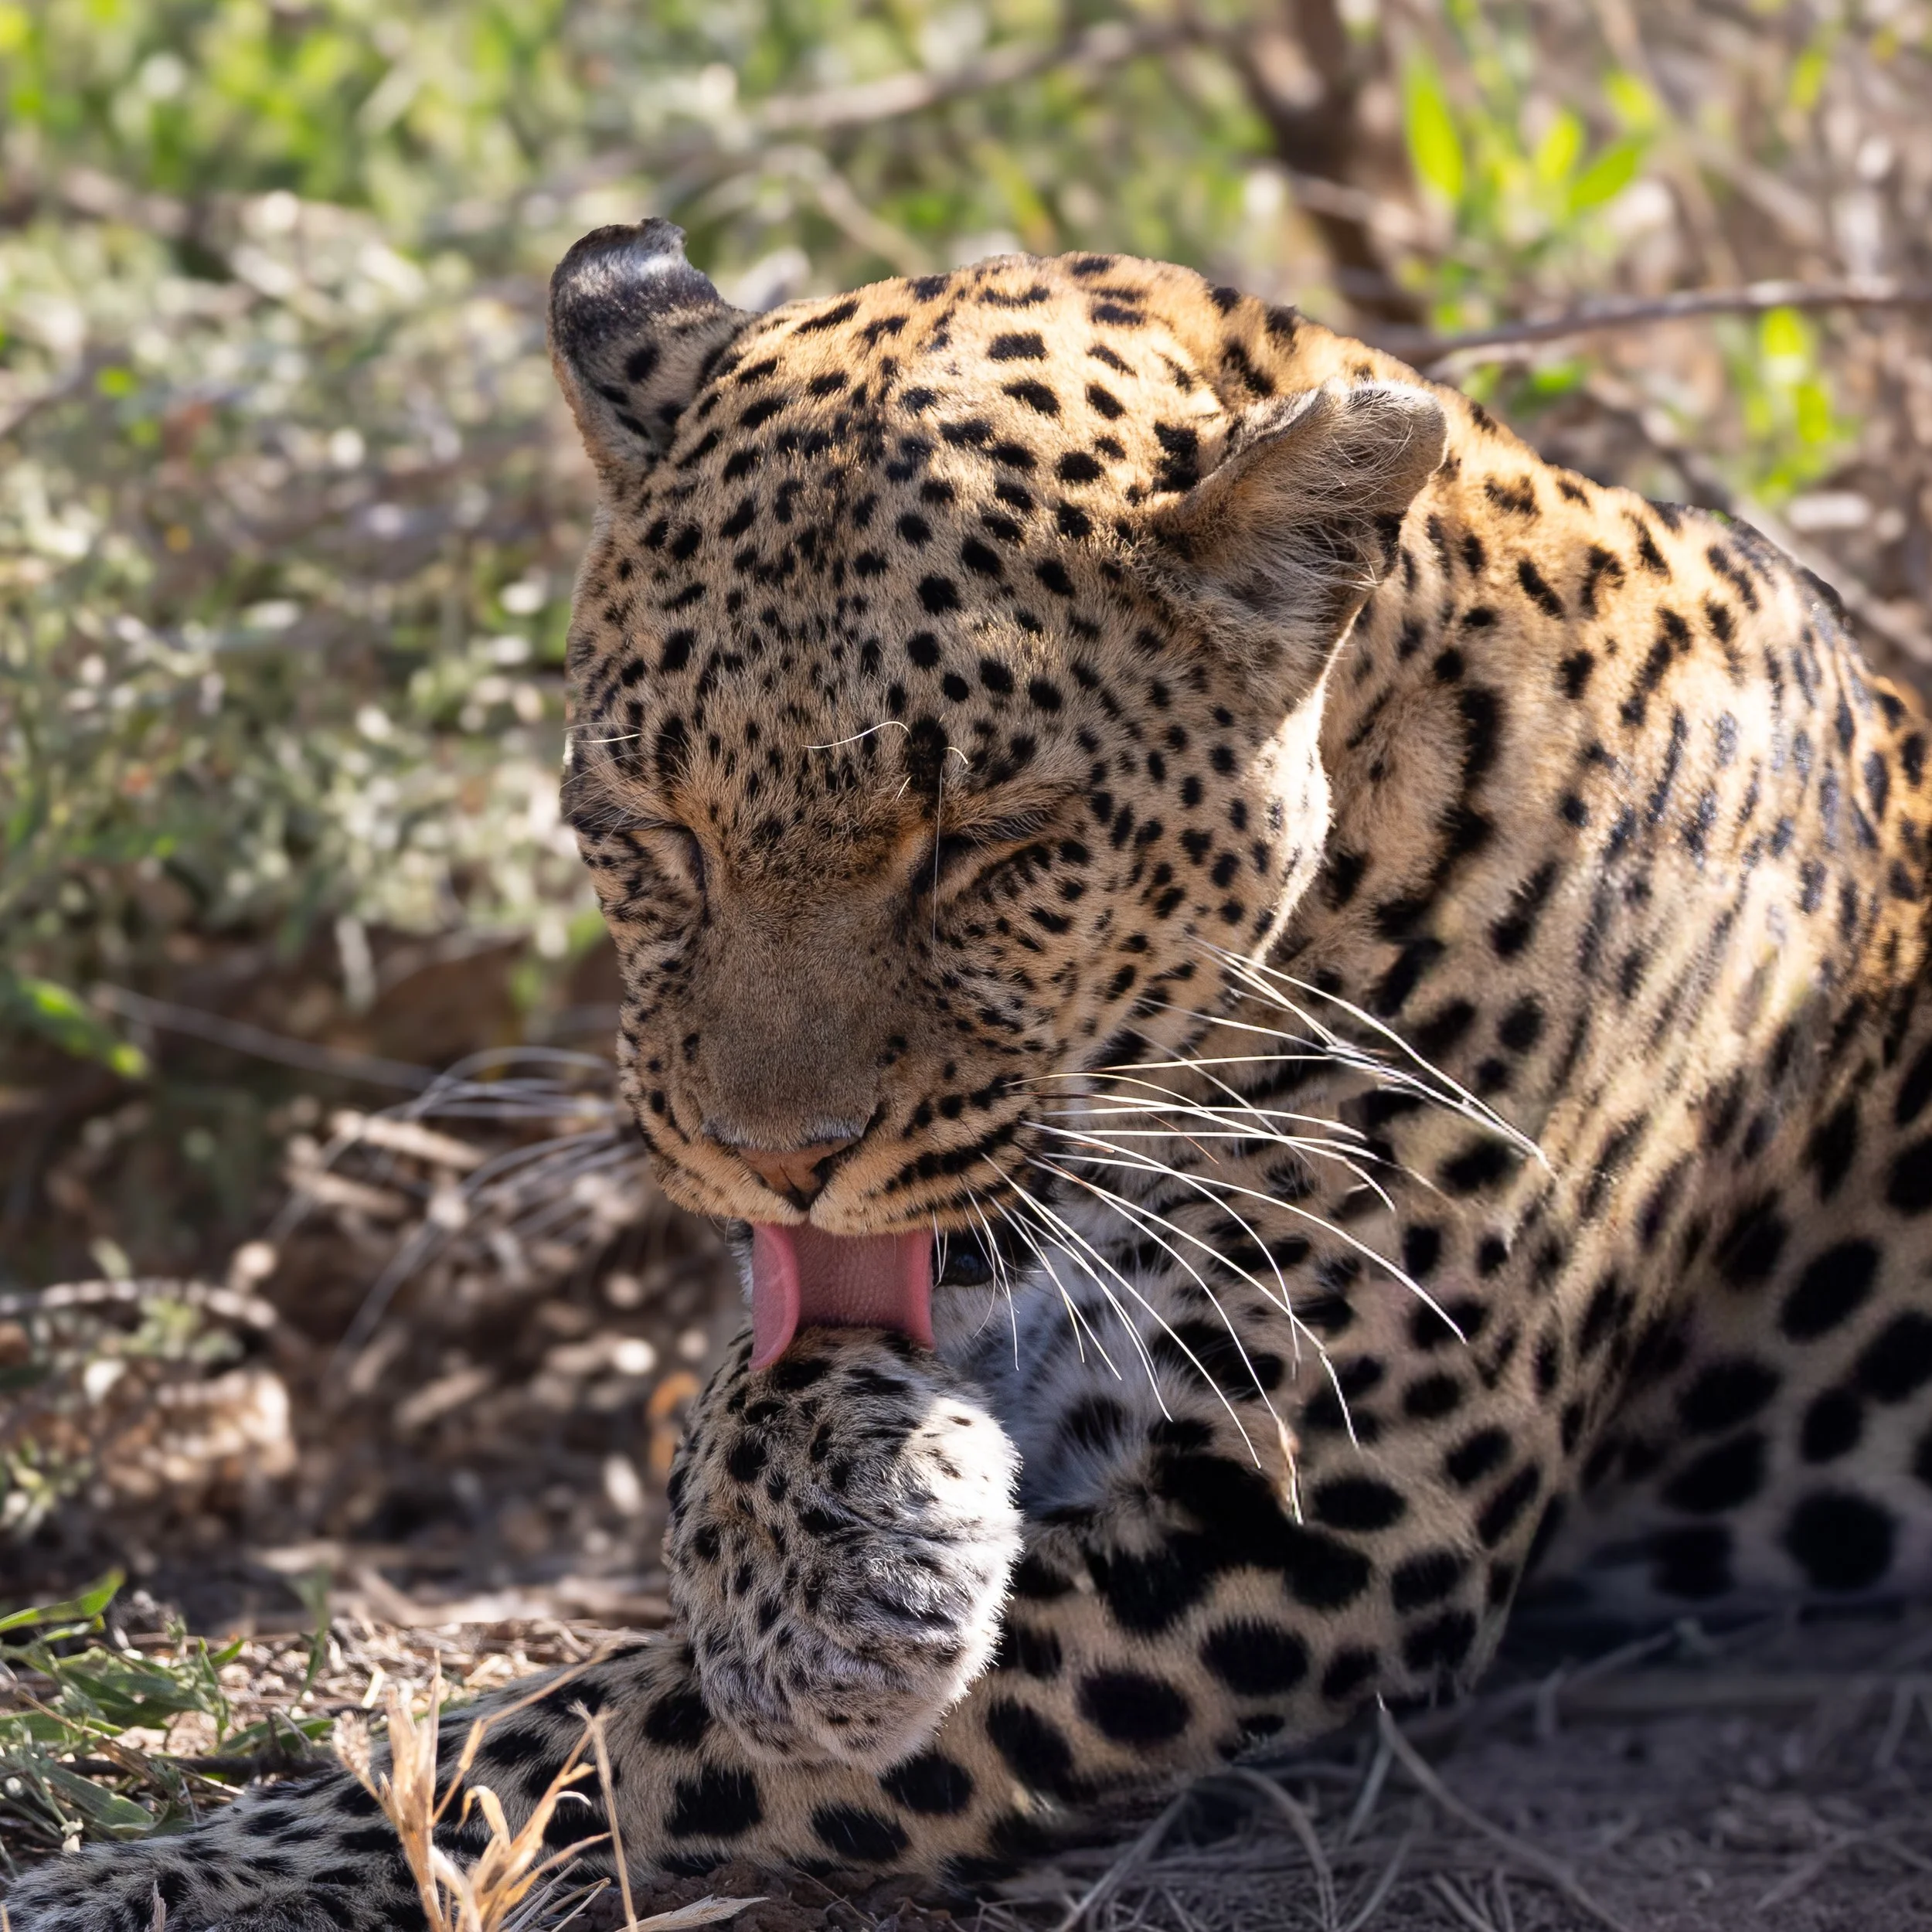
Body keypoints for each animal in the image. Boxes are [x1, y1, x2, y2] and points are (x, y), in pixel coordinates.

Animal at [13, 218, 1932, 1931]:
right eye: (653, 824)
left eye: (992, 839)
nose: (770, 1154)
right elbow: (770, 1366)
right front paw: (813, 1550)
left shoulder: (1328, 1536)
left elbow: (602, 1732)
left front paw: (161, 1875)